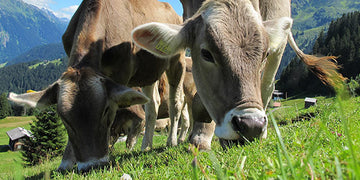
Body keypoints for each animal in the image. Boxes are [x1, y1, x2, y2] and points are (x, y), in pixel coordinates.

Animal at [9, 0, 186, 172]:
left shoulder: (121, 74)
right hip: (148, 72)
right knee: (152, 104)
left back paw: (172, 140)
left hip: (177, 60)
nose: (92, 165)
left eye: (106, 110)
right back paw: (146, 145)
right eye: (63, 118)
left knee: (176, 102)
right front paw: (66, 162)